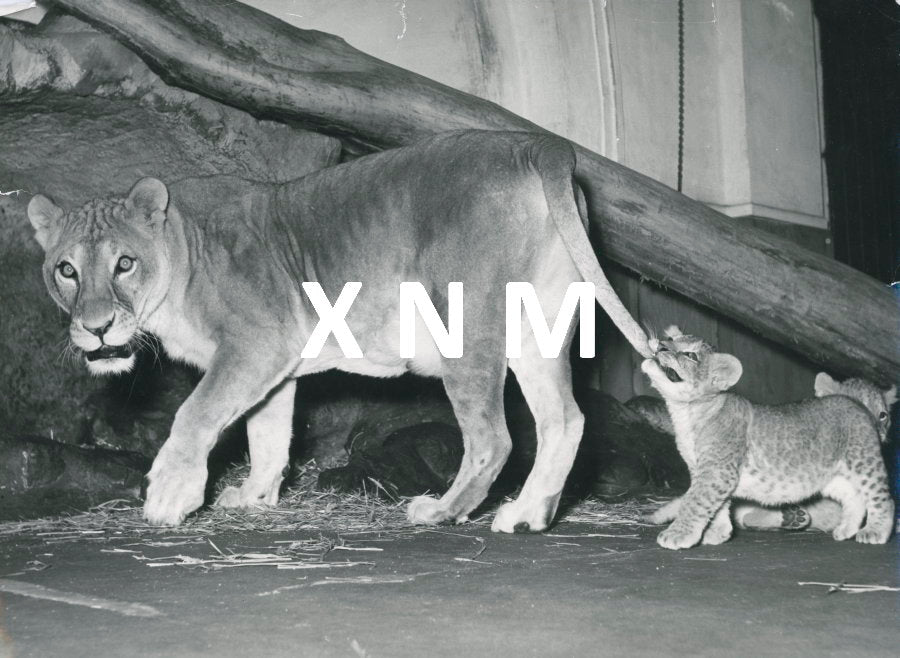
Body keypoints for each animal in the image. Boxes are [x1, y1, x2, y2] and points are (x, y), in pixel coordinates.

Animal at [27, 130, 652, 530]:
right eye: (66, 270)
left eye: (124, 264)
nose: (96, 328)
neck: (182, 254)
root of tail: (535, 145)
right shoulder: (273, 362)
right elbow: (267, 435)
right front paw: (255, 497)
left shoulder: (252, 346)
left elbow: (195, 414)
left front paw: (170, 496)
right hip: (534, 329)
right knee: (565, 420)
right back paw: (527, 515)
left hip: (464, 324)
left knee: (494, 438)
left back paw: (443, 511)